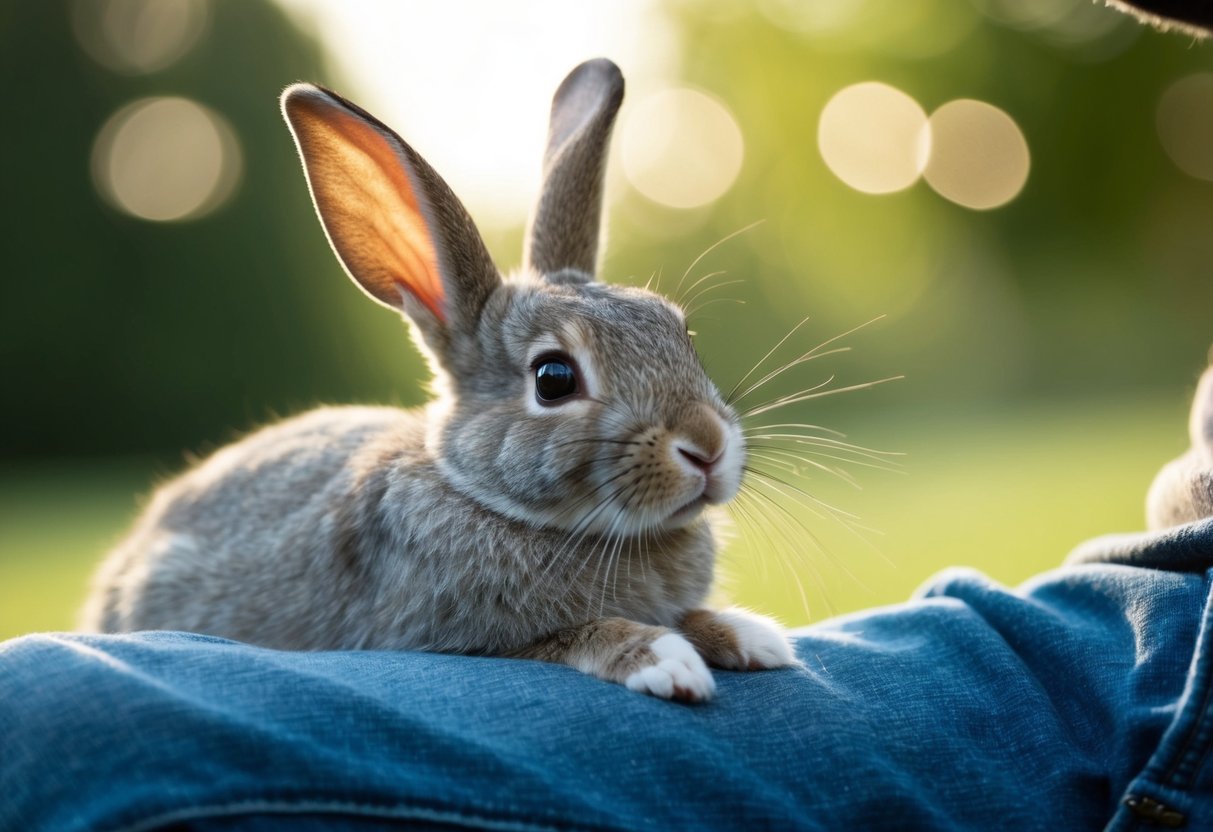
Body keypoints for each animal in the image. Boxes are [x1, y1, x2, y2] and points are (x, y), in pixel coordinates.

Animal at [79, 58, 796, 702]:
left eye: (683, 333)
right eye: (554, 378)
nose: (708, 447)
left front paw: (747, 634)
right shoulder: (452, 635)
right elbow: (574, 635)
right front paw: (662, 659)